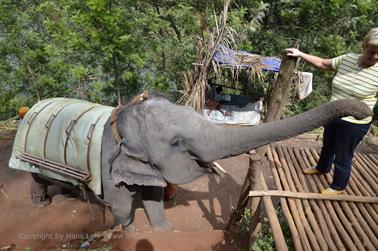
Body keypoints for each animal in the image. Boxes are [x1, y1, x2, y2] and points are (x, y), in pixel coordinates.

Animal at [10, 92, 370, 231]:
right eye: (176, 142)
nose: (363, 112)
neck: (121, 120)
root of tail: (29, 108)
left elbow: (153, 196)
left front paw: (163, 230)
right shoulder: (107, 163)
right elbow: (121, 202)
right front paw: (127, 231)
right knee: (36, 178)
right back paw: (42, 203)